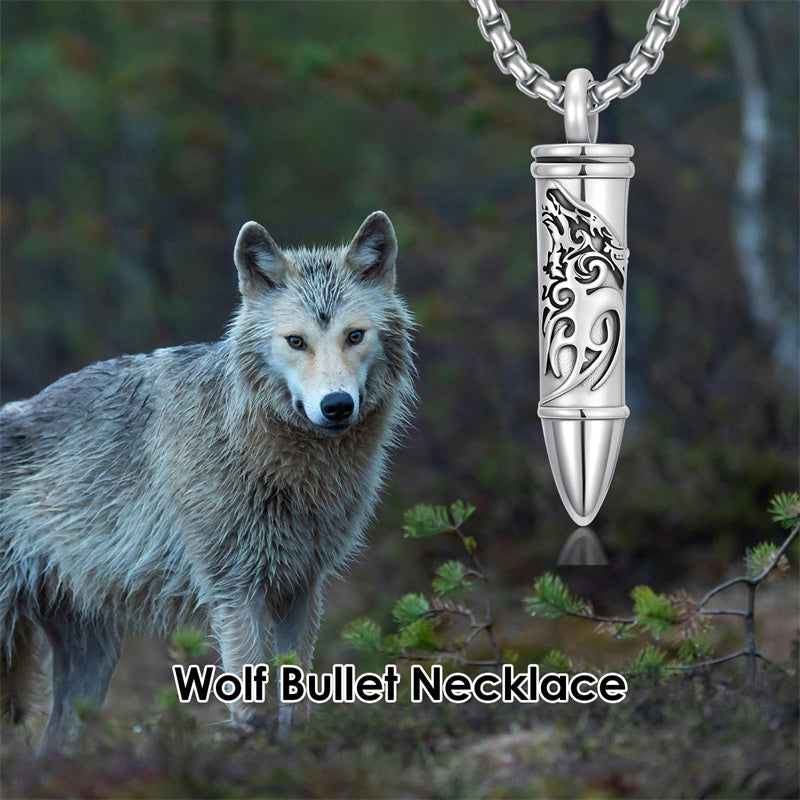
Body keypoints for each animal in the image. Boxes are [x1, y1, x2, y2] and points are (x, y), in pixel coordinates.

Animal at [0, 211, 416, 749]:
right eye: (296, 341)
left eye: (355, 336)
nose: (337, 406)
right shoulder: (234, 590)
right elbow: (253, 710)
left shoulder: (302, 587)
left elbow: (297, 707)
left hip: (95, 659)